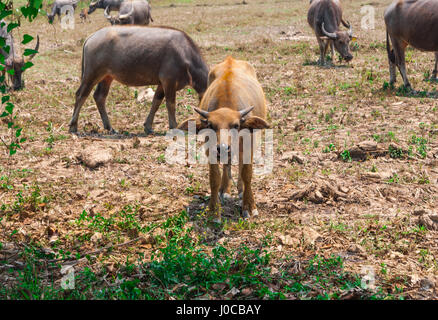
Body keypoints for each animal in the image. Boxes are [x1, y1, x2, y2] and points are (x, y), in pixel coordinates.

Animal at [69, 25, 210, 134]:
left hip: (107, 77)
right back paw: (73, 126)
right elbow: (170, 104)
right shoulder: (169, 81)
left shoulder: (161, 84)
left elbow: (156, 102)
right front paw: (174, 126)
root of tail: (91, 37)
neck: (185, 54)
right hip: (92, 74)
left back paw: (110, 127)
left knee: (99, 96)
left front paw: (148, 127)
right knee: (81, 95)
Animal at [179, 56, 270, 221]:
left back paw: (240, 190)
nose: (222, 147)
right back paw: (225, 190)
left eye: (236, 125)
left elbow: (247, 174)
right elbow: (214, 178)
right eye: (210, 125)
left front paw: (249, 205)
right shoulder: (210, 150)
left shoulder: (249, 145)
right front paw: (213, 210)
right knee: (227, 163)